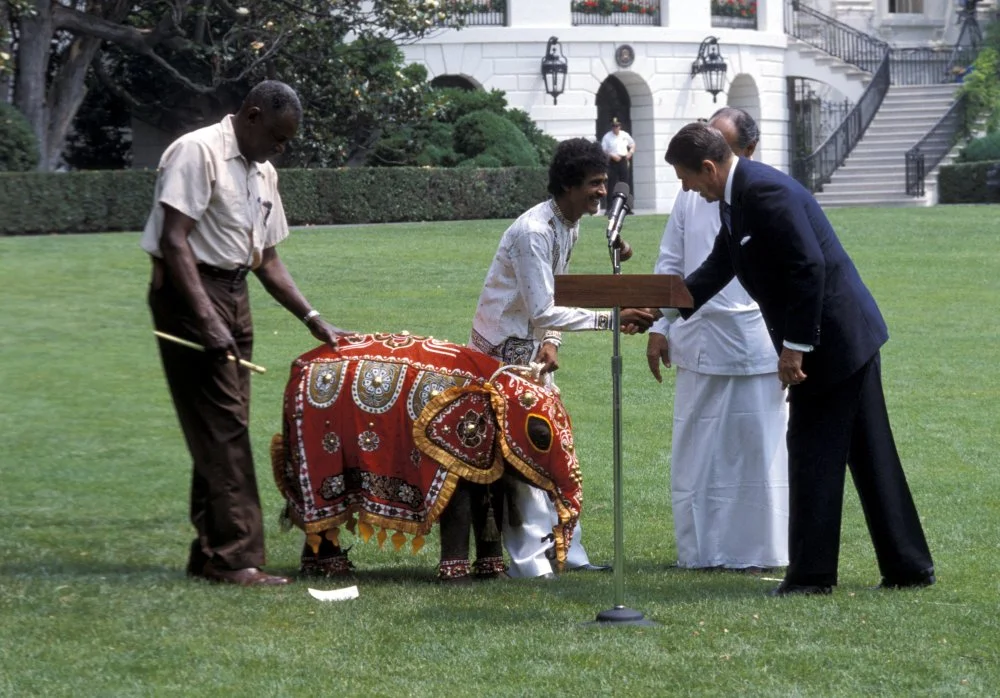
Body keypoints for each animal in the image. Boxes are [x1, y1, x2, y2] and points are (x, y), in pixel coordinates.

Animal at [272, 328, 584, 580]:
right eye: (540, 434)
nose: (551, 548)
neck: (491, 384)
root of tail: (296, 367)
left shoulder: (483, 449)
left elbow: (488, 497)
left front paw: (495, 576)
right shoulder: (444, 444)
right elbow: (458, 503)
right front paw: (458, 581)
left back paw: (314, 569)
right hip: (314, 444)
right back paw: (335, 572)